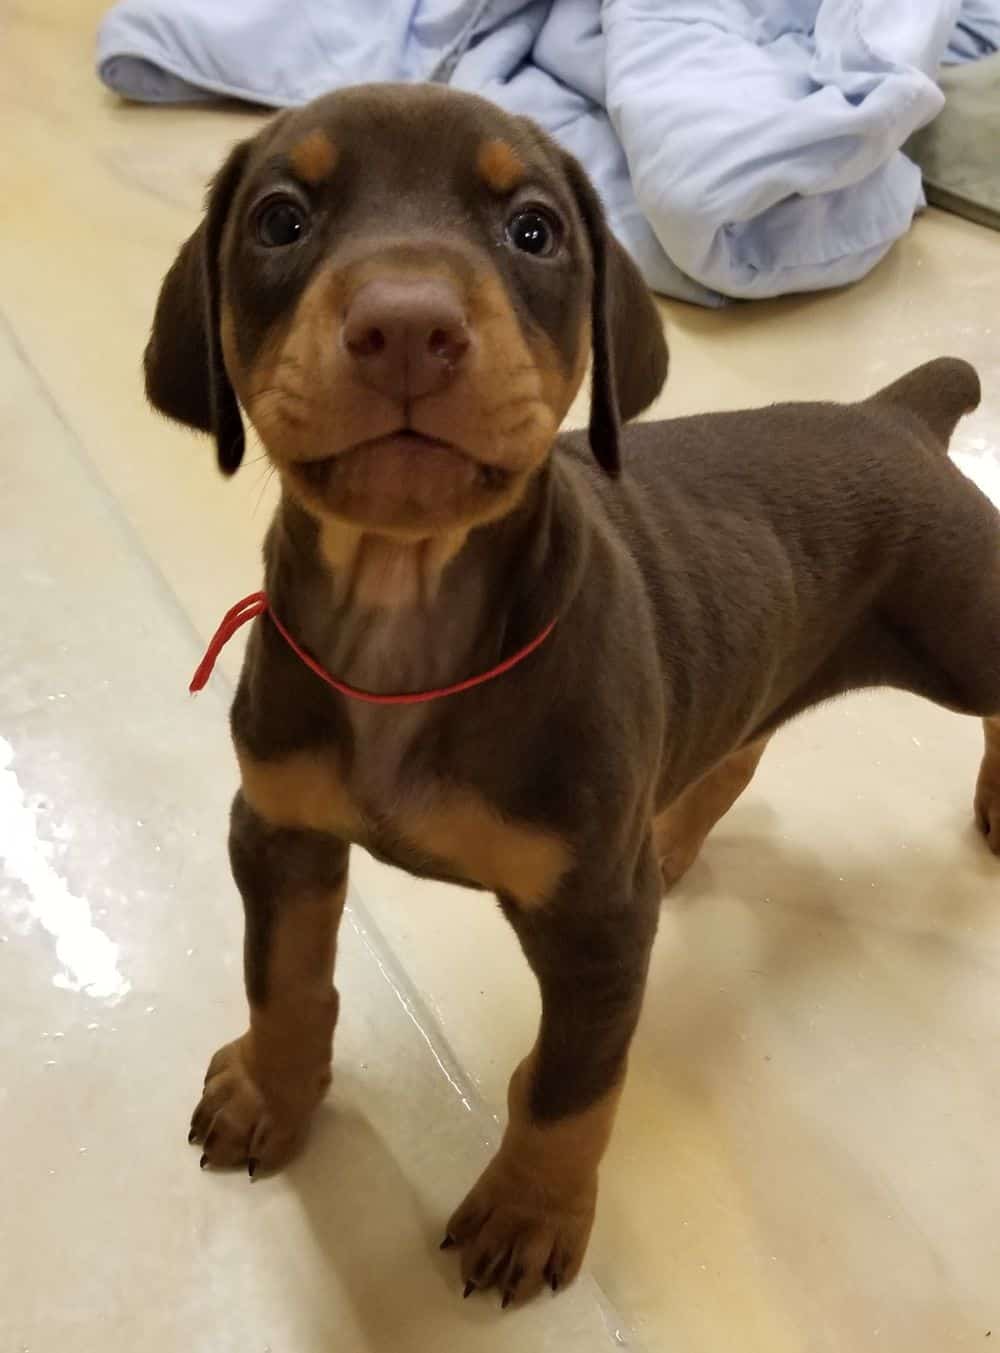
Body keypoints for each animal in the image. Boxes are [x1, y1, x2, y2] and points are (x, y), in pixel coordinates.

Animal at [146, 79, 1000, 1304]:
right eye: (279, 220)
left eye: (534, 230)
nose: (406, 326)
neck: (409, 613)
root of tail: (896, 411)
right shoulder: (278, 826)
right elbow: (285, 977)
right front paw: (271, 1090)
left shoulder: (598, 922)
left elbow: (568, 1087)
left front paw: (530, 1211)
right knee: (737, 745)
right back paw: (676, 834)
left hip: (963, 631)